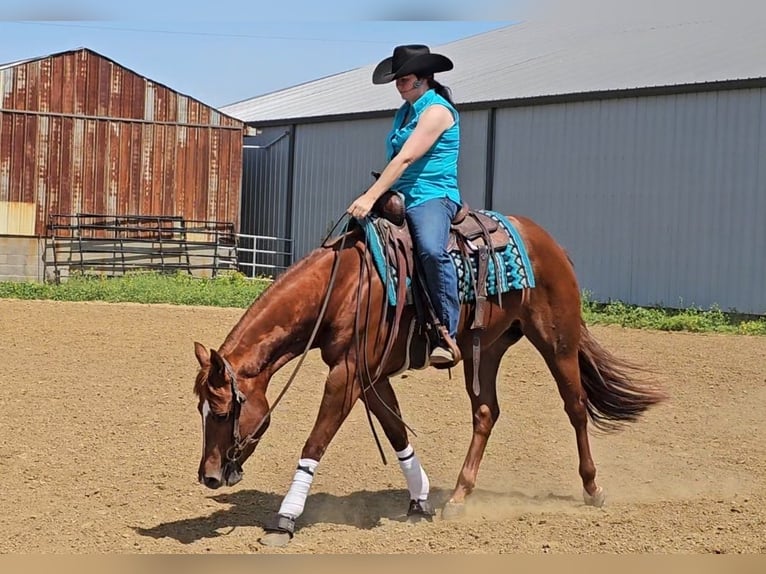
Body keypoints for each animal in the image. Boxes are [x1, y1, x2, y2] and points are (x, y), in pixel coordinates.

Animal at [192, 213, 664, 548]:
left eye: (222, 410)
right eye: (201, 410)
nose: (208, 477)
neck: (343, 286)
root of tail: (548, 242)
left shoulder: (346, 375)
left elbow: (315, 444)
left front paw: (285, 519)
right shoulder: (369, 377)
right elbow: (397, 432)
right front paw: (419, 501)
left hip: (558, 341)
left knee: (576, 407)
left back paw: (593, 488)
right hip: (485, 349)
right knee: (486, 412)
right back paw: (457, 496)